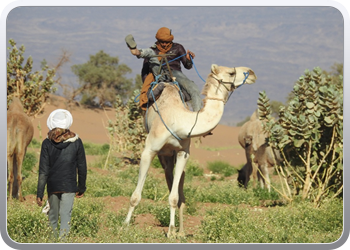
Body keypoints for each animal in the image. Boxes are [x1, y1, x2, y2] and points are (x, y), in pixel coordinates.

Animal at [124, 63, 256, 237]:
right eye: (231, 72)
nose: (252, 73)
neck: (179, 121)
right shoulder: (149, 150)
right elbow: (135, 195)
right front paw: (124, 225)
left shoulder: (183, 153)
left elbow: (174, 197)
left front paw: (171, 231)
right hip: (162, 155)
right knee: (168, 176)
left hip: (171, 156)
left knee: (177, 188)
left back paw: (180, 231)